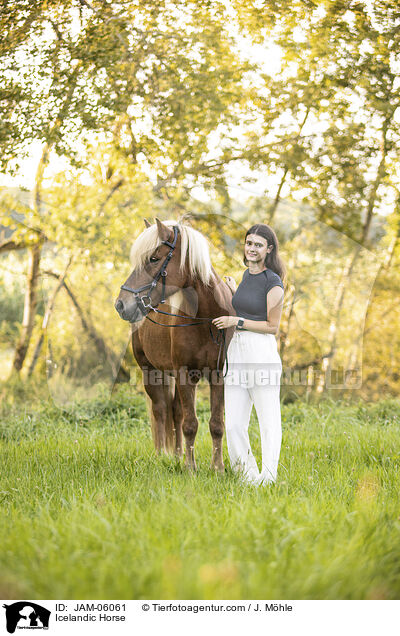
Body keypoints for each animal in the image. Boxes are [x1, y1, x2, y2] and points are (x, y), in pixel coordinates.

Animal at [114, 219, 234, 472]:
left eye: (153, 258)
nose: (121, 304)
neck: (206, 319)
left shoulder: (217, 375)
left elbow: (216, 423)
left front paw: (217, 467)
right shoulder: (184, 374)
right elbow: (190, 424)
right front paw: (191, 468)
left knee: (176, 412)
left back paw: (178, 455)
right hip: (150, 372)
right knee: (161, 410)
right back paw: (163, 456)